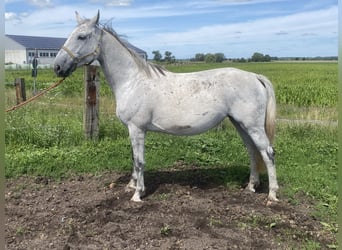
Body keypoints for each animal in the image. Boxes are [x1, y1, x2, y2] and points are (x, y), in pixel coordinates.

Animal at [53, 12, 278, 203]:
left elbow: (139, 161)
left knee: (267, 153)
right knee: (253, 151)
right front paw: (131, 185)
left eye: (81, 36)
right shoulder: (132, 130)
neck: (132, 81)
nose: (57, 67)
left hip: (252, 126)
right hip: (240, 124)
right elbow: (134, 158)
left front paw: (137, 194)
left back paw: (272, 195)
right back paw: (251, 186)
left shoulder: (137, 128)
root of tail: (255, 77)